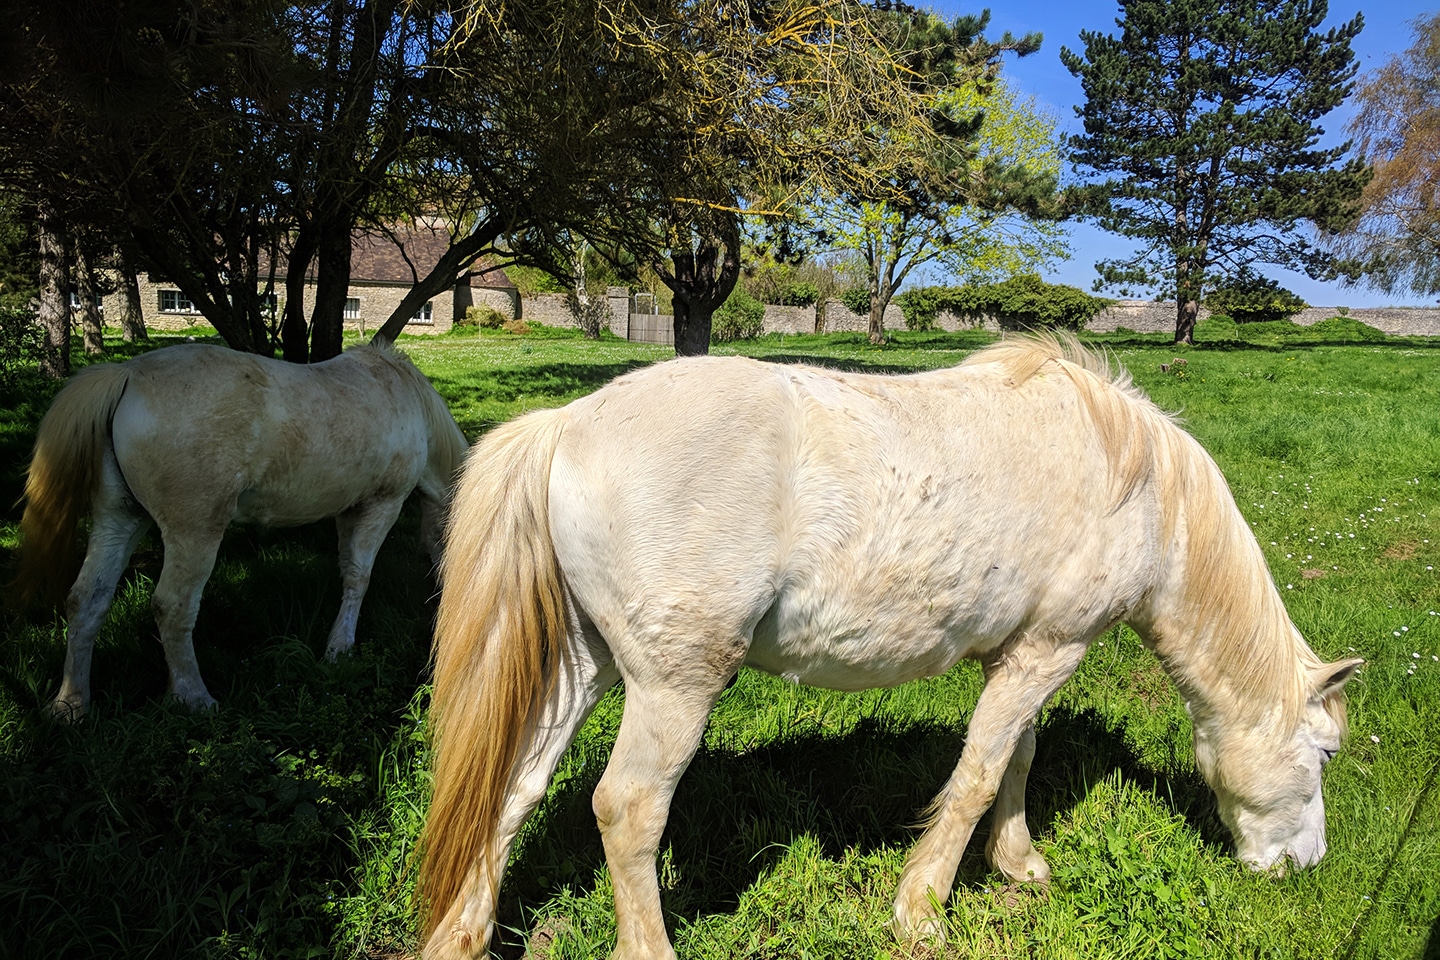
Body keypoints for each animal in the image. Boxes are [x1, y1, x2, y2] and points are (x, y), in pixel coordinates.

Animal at [15, 341, 466, 716]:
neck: (408, 401)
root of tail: (127, 375)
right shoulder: (381, 504)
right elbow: (359, 577)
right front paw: (340, 648)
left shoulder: (348, 509)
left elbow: (347, 571)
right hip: (195, 530)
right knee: (172, 606)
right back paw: (194, 698)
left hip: (118, 519)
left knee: (86, 599)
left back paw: (71, 704)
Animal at [420, 333, 1359, 955]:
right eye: (1323, 754)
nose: (1305, 865)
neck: (1142, 487)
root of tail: (568, 421)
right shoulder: (1052, 649)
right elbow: (978, 775)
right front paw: (923, 910)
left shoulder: (1023, 653)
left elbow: (1015, 758)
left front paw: (1017, 864)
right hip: (674, 684)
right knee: (628, 808)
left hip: (586, 664)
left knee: (514, 786)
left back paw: (461, 934)